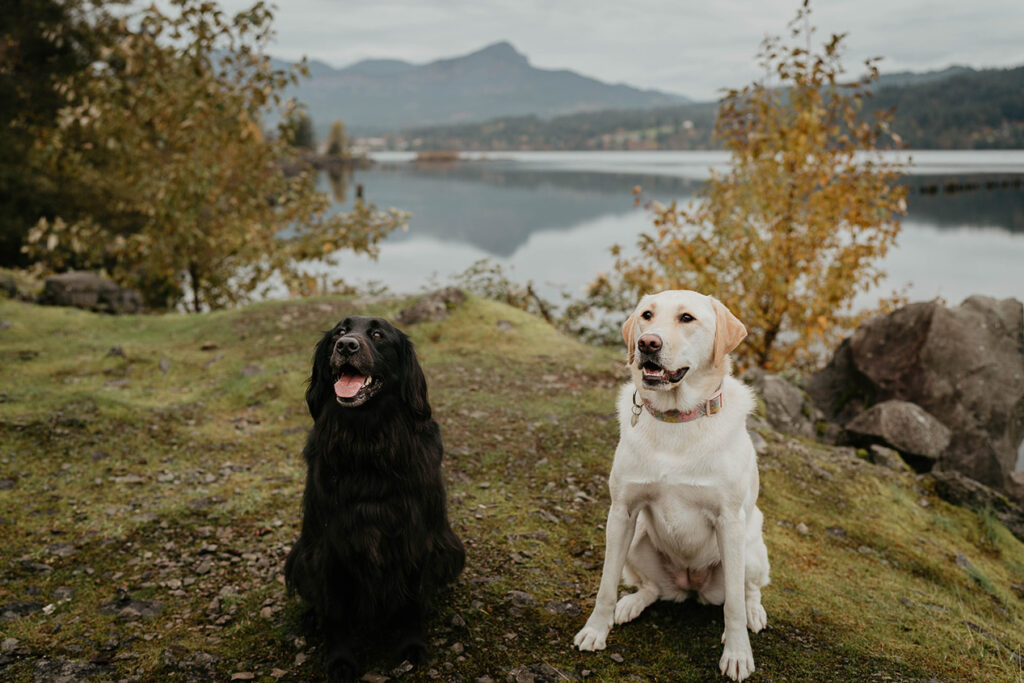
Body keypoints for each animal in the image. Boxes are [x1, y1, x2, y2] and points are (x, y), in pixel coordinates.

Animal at [286, 315, 466, 679]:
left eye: (378, 334)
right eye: (339, 333)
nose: (346, 346)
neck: (366, 440)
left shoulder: (416, 536)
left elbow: (412, 602)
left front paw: (411, 647)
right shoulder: (330, 544)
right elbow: (335, 610)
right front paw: (340, 660)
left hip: (451, 550)